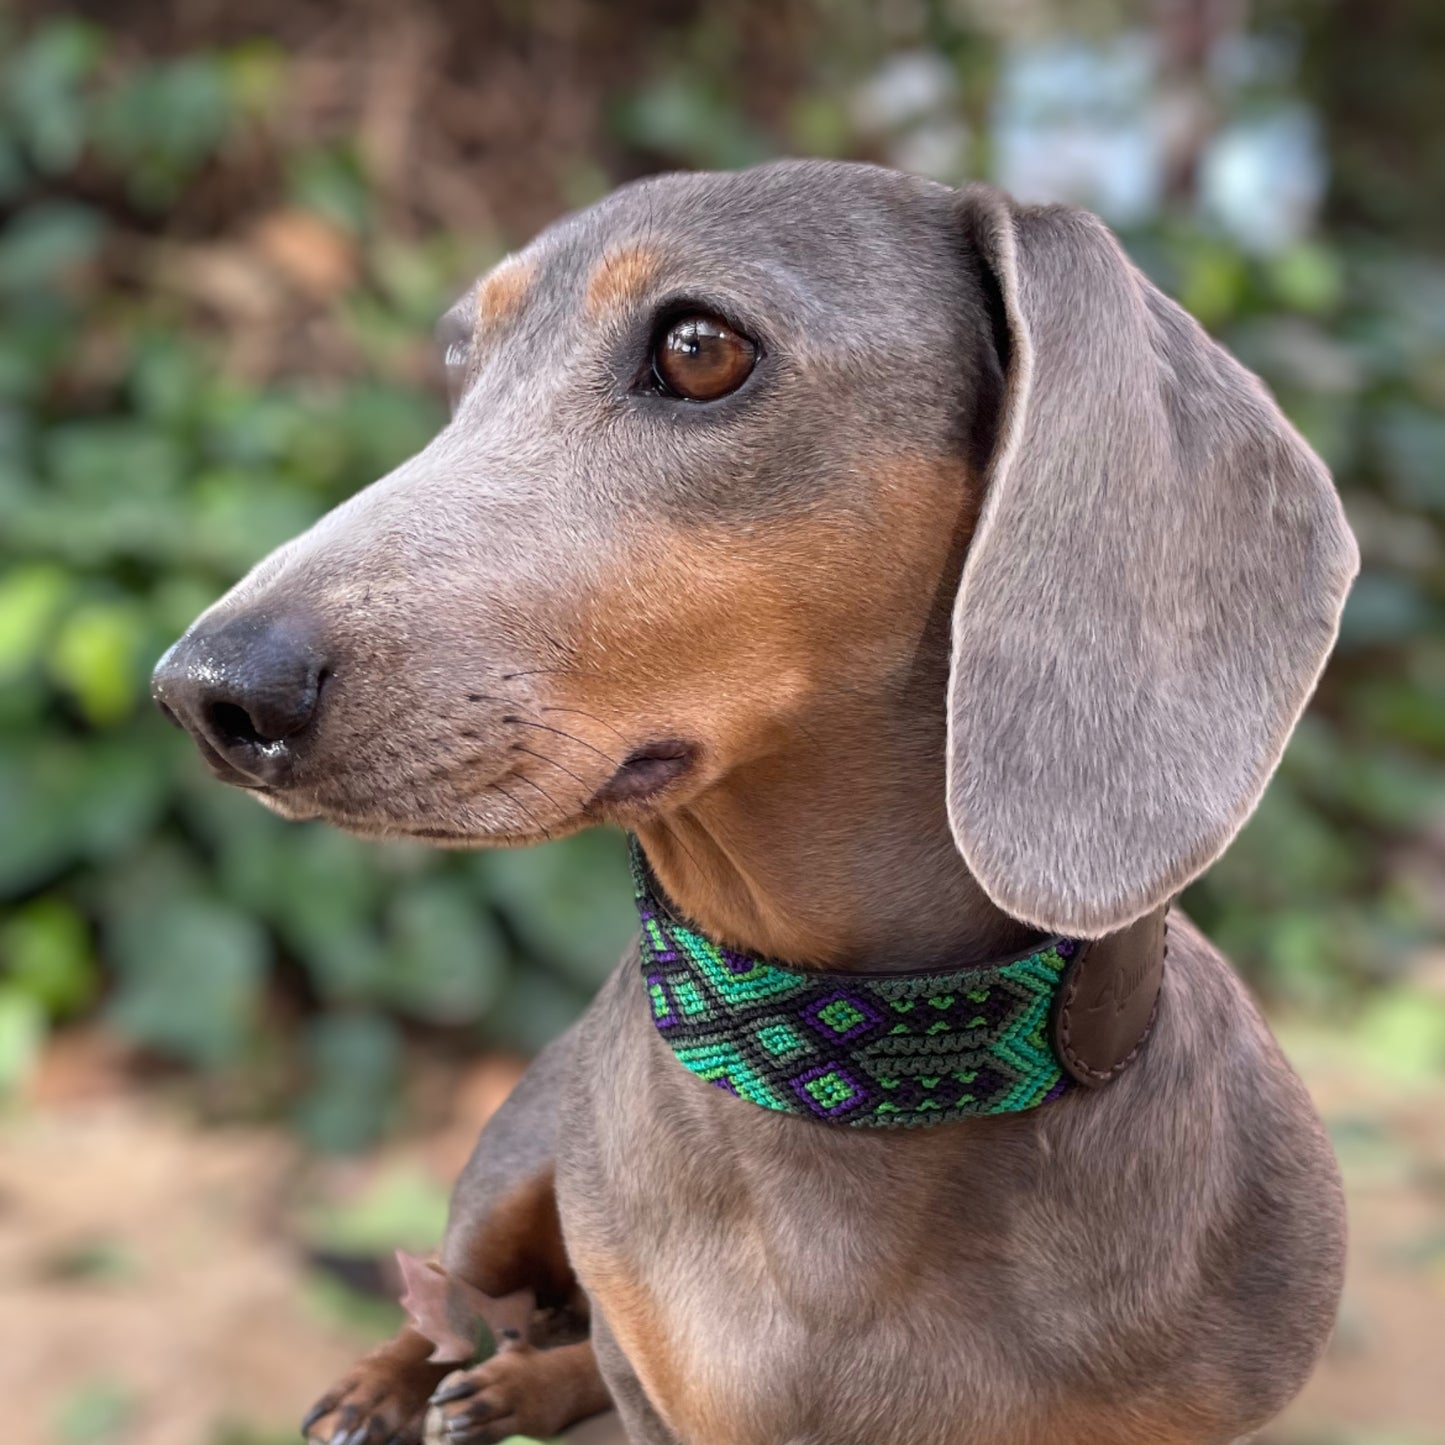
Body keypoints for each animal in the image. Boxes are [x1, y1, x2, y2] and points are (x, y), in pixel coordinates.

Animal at [155, 161, 1352, 1445]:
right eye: (458, 366)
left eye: (697, 350)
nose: (204, 692)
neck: (832, 1069)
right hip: (509, 1167)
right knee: (463, 1297)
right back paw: (393, 1384)